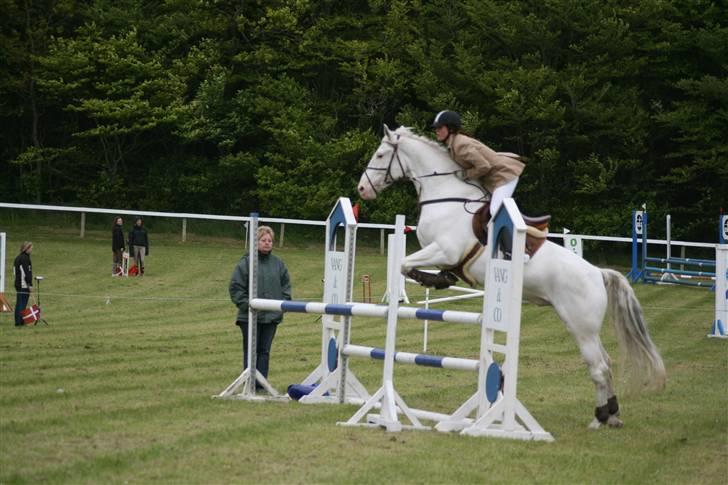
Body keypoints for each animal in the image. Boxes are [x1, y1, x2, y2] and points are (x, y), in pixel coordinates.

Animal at [358, 125, 664, 428]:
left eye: (381, 154)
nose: (362, 189)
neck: (445, 196)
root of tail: (599, 273)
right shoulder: (442, 254)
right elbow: (413, 266)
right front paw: (440, 279)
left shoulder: (445, 249)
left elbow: (403, 263)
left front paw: (430, 279)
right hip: (584, 325)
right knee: (605, 363)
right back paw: (611, 415)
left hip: (581, 325)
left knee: (598, 367)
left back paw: (599, 418)